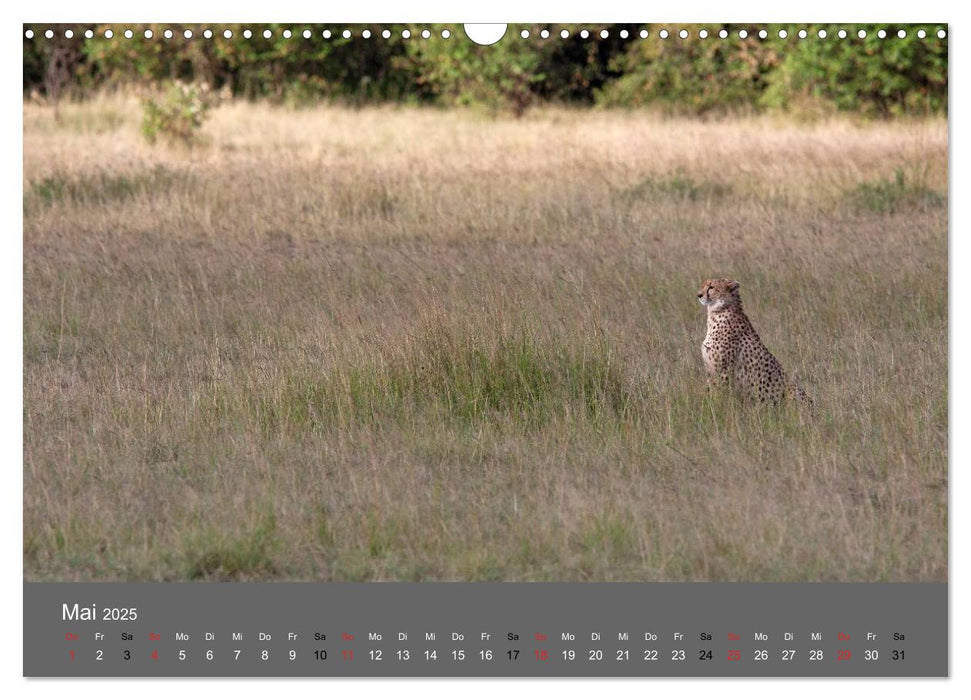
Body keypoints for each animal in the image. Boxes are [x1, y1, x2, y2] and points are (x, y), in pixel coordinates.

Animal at [700, 274, 812, 402]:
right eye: (703, 285)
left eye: (711, 287)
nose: (699, 295)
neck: (719, 311)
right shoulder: (710, 370)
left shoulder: (724, 371)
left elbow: (721, 394)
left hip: (790, 390)